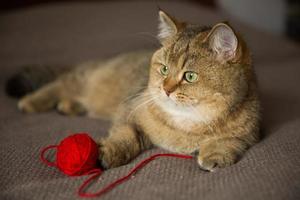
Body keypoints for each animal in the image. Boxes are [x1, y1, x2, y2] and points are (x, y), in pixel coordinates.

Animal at [8, 10, 260, 171]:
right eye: (164, 69)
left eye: (190, 76)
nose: (165, 89)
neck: (187, 124)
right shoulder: (129, 111)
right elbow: (125, 135)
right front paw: (109, 152)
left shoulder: (251, 132)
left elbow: (231, 140)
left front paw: (216, 153)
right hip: (83, 78)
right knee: (58, 85)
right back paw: (32, 101)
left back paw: (70, 106)